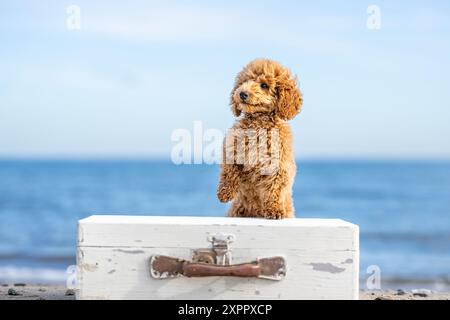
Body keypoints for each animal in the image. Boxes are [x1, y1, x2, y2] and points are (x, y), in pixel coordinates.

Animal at [217, 58, 304, 219]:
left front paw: (274, 210)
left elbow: (274, 189)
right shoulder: (233, 149)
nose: (242, 93)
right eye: (244, 82)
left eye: (264, 85)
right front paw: (225, 192)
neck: (258, 121)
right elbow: (229, 171)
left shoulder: (278, 165)